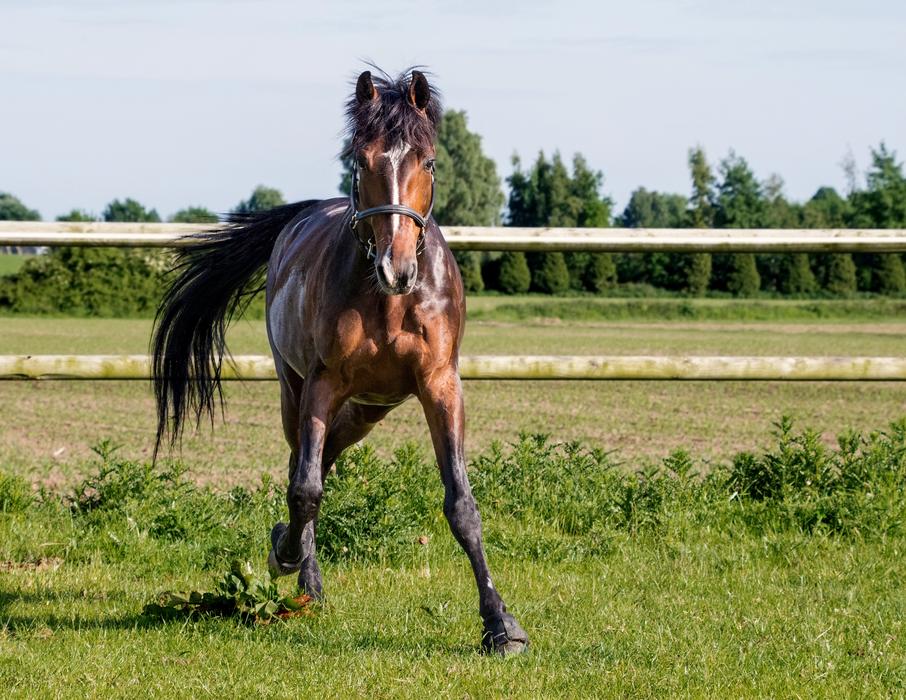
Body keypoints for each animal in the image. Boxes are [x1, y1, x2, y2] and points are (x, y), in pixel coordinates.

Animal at [151, 68, 528, 655]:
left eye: (428, 161)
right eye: (361, 159)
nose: (396, 267)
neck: (390, 301)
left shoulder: (440, 385)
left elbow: (462, 506)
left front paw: (501, 625)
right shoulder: (322, 384)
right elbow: (305, 490)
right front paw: (285, 555)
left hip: (372, 407)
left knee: (325, 455)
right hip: (296, 390)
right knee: (304, 467)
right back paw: (300, 571)